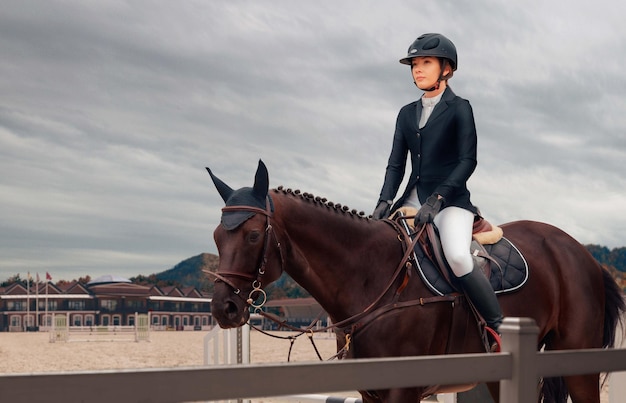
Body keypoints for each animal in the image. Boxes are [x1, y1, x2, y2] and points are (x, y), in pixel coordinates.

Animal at [206, 161, 624, 403]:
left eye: (253, 236)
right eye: (216, 236)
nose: (223, 308)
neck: (372, 279)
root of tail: (582, 253)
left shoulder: (402, 390)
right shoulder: (373, 393)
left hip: (578, 365)